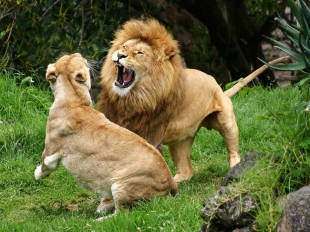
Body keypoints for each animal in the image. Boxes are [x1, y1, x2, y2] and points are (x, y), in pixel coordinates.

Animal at [34, 52, 177, 219]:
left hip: (122, 185)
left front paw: (38, 174)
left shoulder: (51, 149)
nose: (79, 53)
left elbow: (46, 165)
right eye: (70, 56)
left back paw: (99, 219)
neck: (75, 99)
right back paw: (103, 206)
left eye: (81, 60)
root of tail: (171, 182)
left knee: (122, 214)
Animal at [98, 19, 290, 182]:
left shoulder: (152, 133)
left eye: (139, 53)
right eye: (123, 46)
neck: (134, 97)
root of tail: (218, 86)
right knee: (187, 171)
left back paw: (234, 169)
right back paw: (176, 181)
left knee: (232, 151)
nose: (120, 55)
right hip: (180, 141)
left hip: (226, 121)